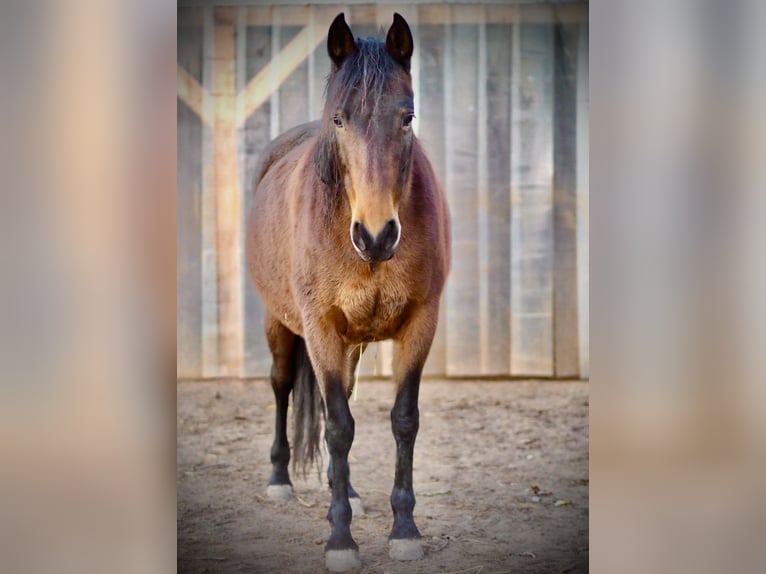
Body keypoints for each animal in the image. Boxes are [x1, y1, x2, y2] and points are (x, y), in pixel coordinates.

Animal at [246, 12, 450, 572]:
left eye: (407, 118)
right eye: (339, 120)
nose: (376, 236)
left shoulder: (420, 324)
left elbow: (402, 421)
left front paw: (404, 530)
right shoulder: (320, 330)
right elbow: (338, 427)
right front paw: (340, 540)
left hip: (352, 344)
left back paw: (352, 492)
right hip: (281, 325)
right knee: (281, 386)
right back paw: (280, 480)